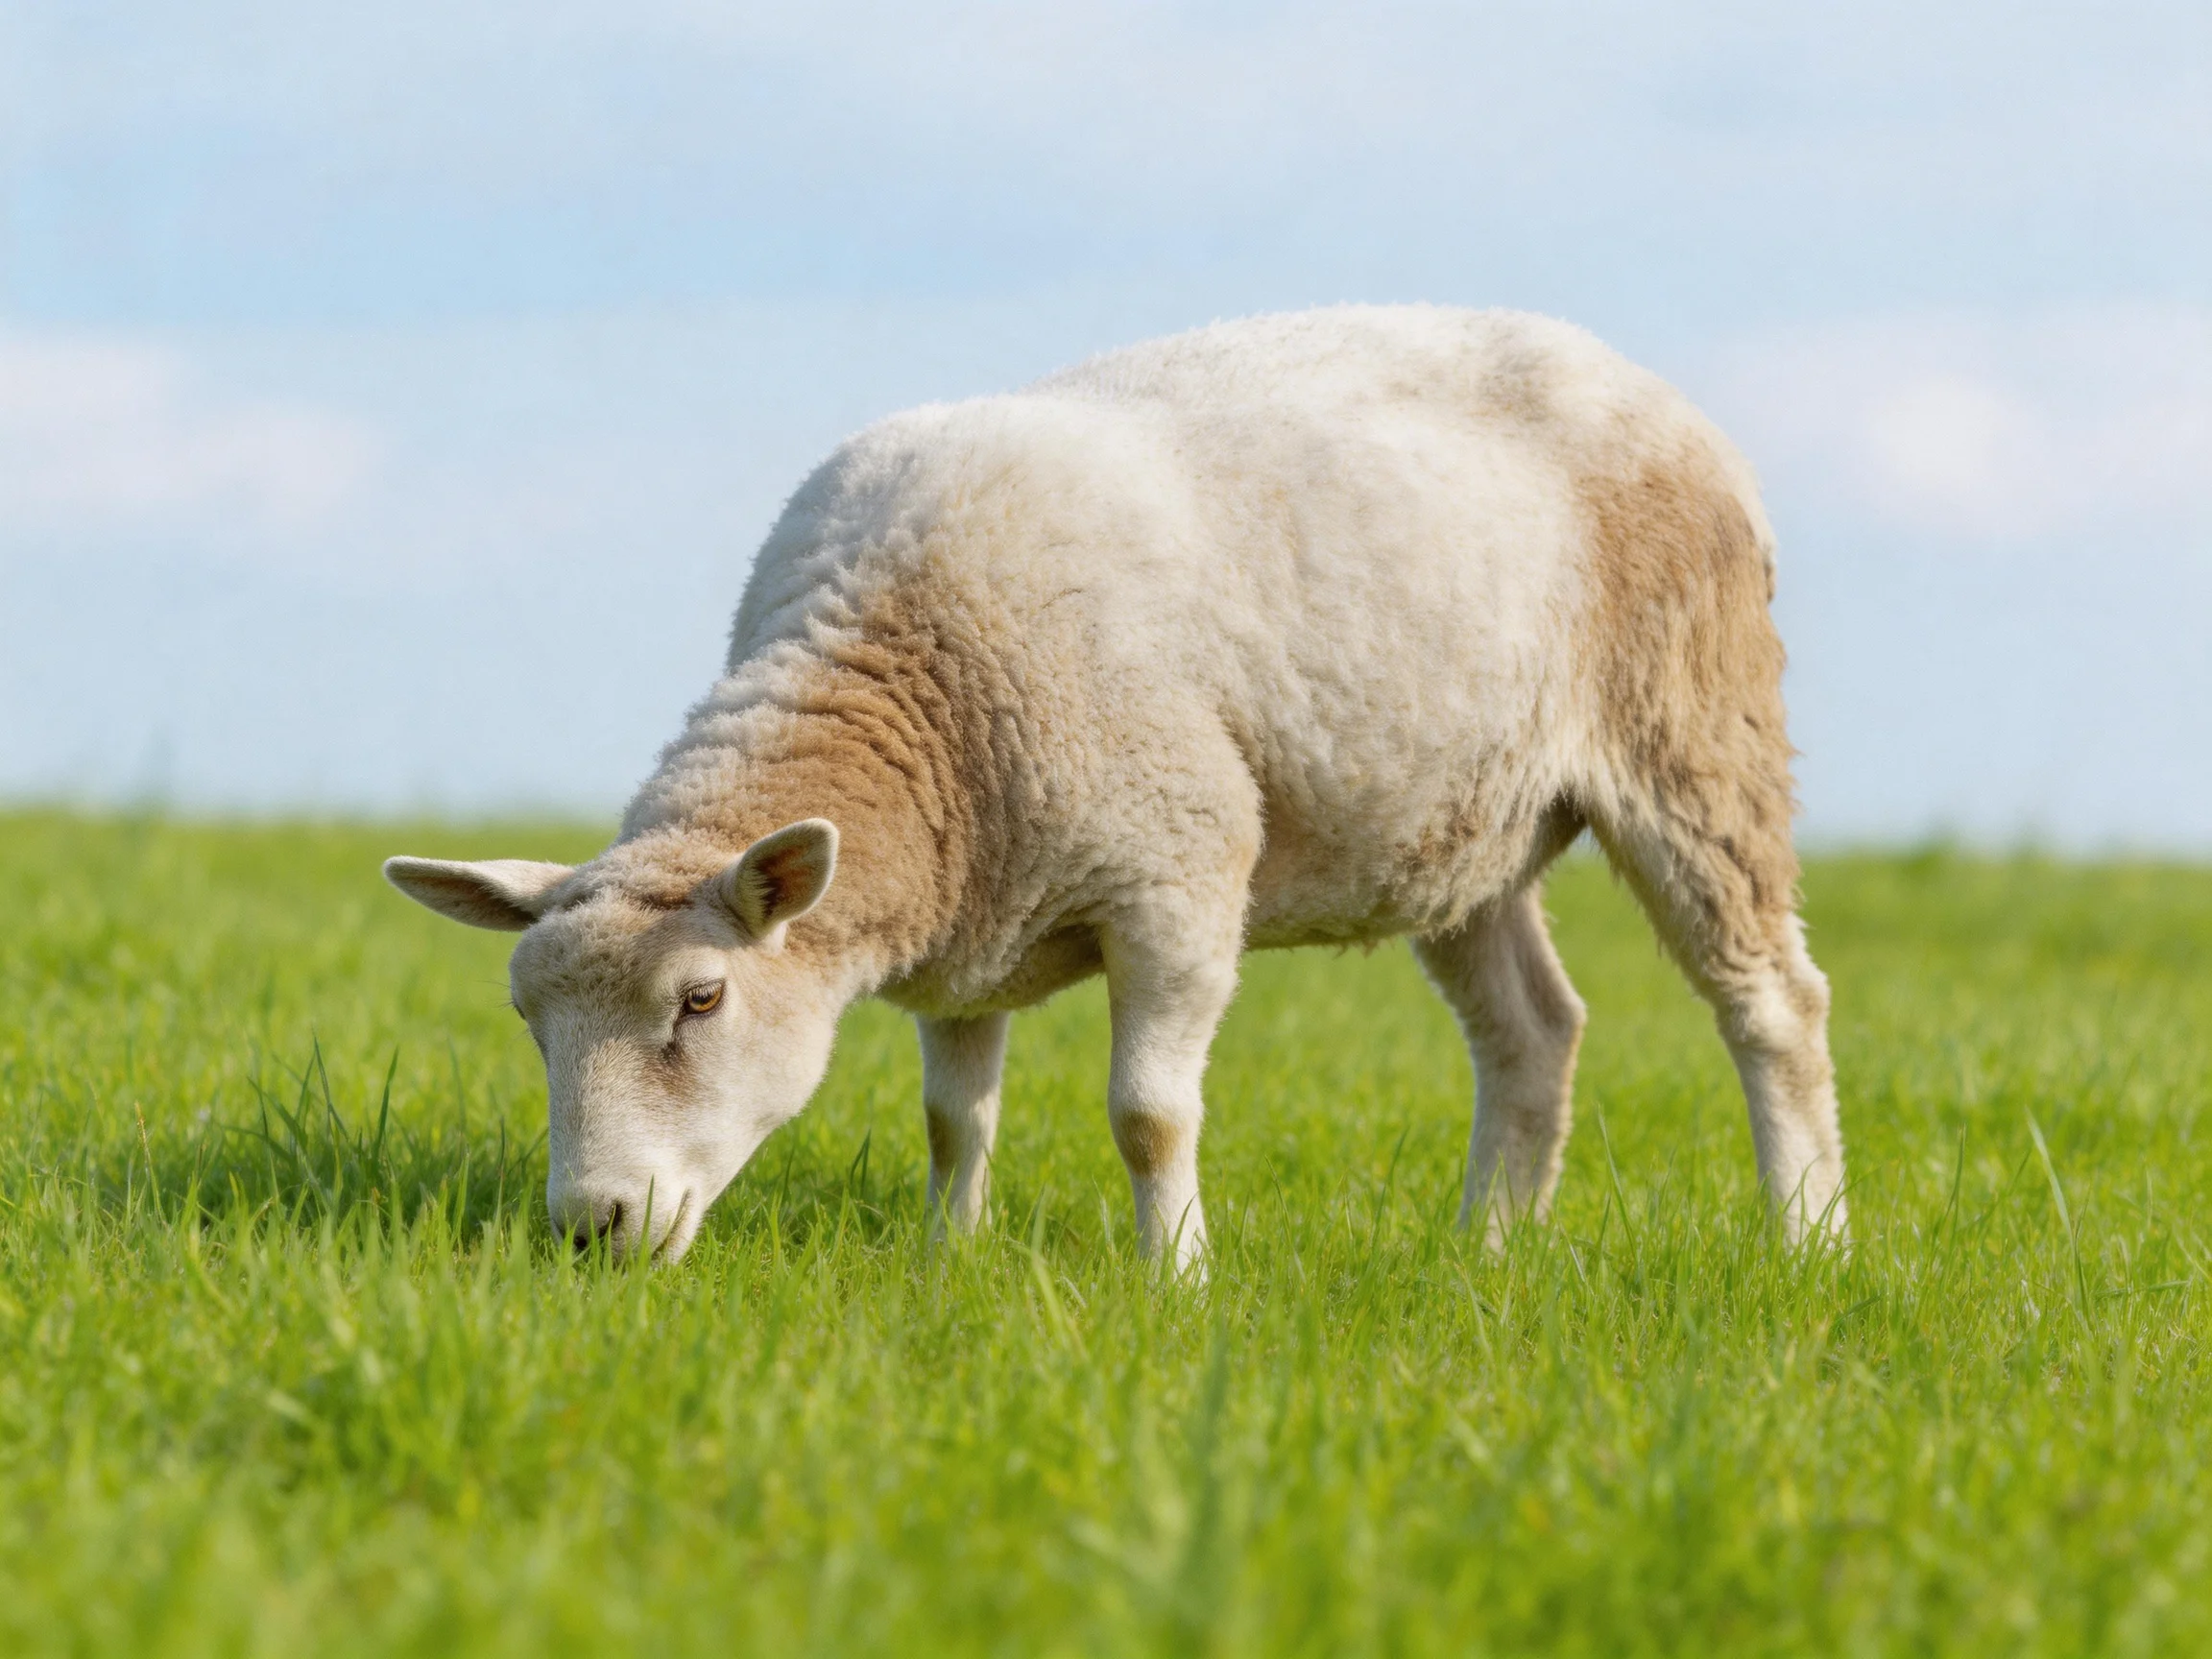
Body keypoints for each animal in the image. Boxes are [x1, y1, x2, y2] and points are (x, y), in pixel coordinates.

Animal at [385, 304, 1848, 1269]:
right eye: (529, 1024)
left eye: (700, 1001)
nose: (590, 1229)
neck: (910, 673)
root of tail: (1635, 374)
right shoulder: (968, 920)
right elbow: (951, 1118)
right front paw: (950, 1264)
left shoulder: (1177, 878)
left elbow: (1148, 1116)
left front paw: (1176, 1281)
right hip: (1458, 824)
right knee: (1534, 1032)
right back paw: (1484, 1255)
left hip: (1693, 732)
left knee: (1773, 1003)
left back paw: (1807, 1244)